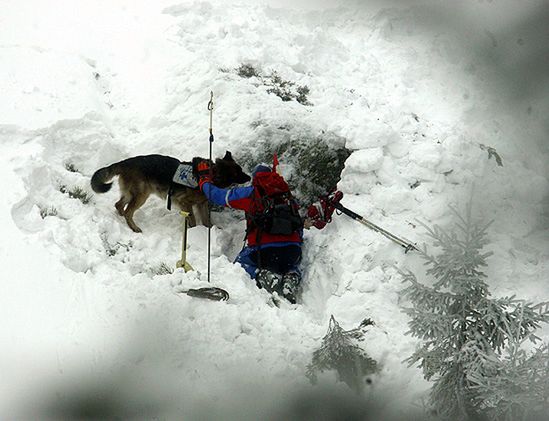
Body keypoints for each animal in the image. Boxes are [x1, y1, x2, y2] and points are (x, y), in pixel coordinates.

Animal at [91, 150, 249, 231]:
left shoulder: (202, 204)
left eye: (240, 170)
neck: (208, 175)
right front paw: (193, 231)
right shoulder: (185, 203)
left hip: (131, 194)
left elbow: (206, 221)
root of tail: (124, 162)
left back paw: (121, 218)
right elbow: (193, 221)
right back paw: (134, 227)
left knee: (119, 205)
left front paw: (209, 229)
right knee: (128, 211)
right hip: (141, 195)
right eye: (237, 173)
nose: (249, 176)